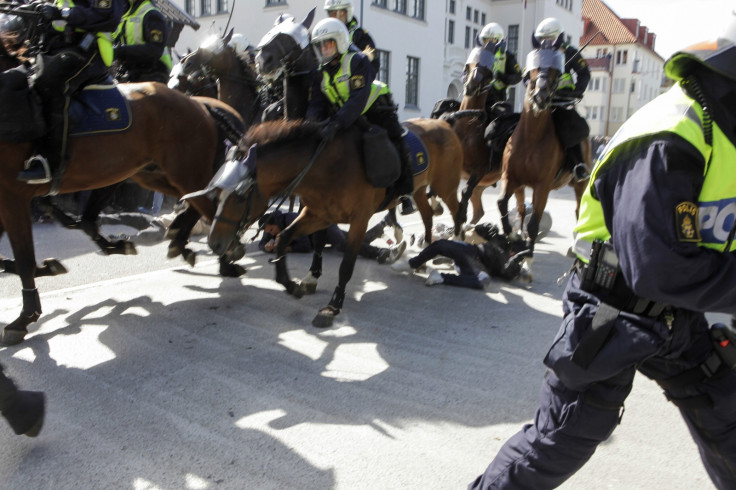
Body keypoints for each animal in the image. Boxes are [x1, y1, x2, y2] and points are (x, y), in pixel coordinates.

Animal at [203, 117, 460, 330]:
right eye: (217, 194)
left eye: (240, 196)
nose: (215, 243)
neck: (328, 166)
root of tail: (443, 123)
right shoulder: (318, 214)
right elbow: (284, 238)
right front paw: (293, 284)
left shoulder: (359, 220)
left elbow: (346, 265)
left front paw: (333, 306)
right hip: (419, 189)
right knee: (427, 216)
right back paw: (423, 259)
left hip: (446, 186)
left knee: (458, 213)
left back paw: (454, 249)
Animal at [494, 36, 592, 282]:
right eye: (534, 66)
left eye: (557, 70)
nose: (541, 97)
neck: (531, 137)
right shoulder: (510, 178)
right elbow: (502, 203)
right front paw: (513, 236)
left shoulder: (542, 187)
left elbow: (534, 223)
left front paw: (527, 259)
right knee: (520, 209)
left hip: (580, 184)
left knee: (578, 211)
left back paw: (574, 247)